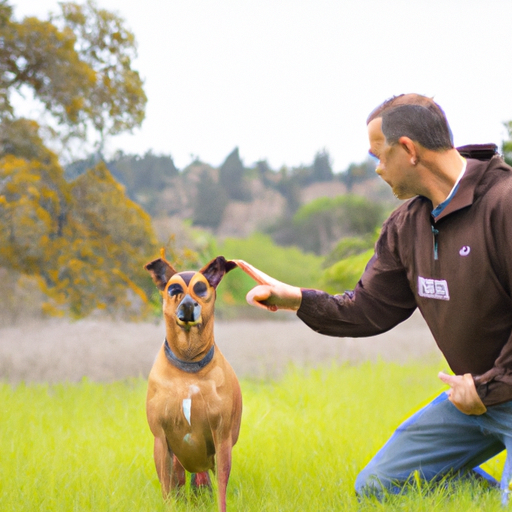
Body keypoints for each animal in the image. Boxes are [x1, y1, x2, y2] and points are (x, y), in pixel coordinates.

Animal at [143, 254, 241, 510]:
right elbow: (167, 492)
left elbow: (221, 491)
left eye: (201, 288)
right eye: (173, 290)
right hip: (178, 460)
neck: (188, 367)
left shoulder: (221, 439)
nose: (188, 305)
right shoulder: (161, 440)